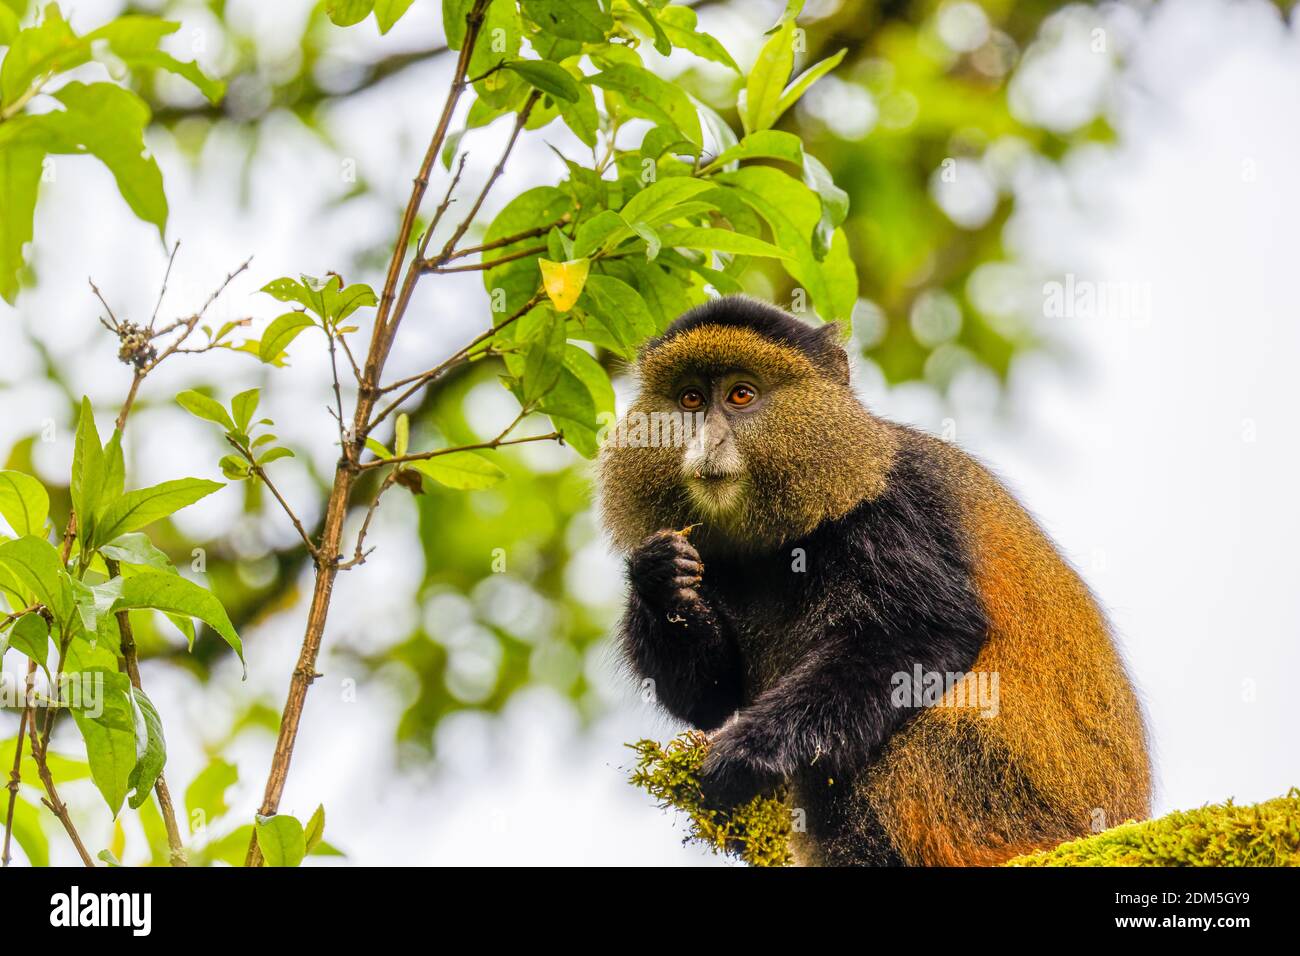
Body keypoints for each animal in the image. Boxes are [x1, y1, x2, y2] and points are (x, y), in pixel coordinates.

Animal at [599, 295, 1151, 866]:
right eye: (690, 399)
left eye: (741, 395)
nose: (707, 440)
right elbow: (709, 697)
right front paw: (660, 577)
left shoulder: (893, 507)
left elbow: (920, 634)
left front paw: (748, 755)